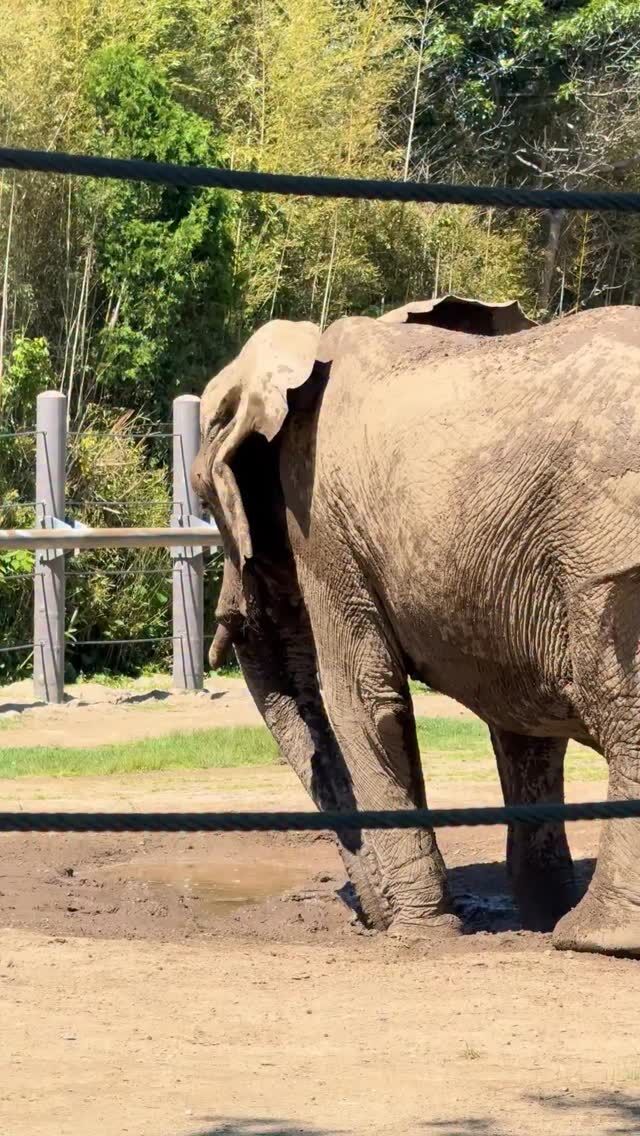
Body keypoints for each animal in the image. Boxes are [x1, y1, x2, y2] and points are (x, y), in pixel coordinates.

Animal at [192, 293, 640, 957]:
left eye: (204, 498)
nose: (365, 919)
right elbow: (523, 725)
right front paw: (539, 914)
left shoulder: (323, 519)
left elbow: (360, 697)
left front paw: (418, 935)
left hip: (605, 556)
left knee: (619, 710)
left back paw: (593, 936)